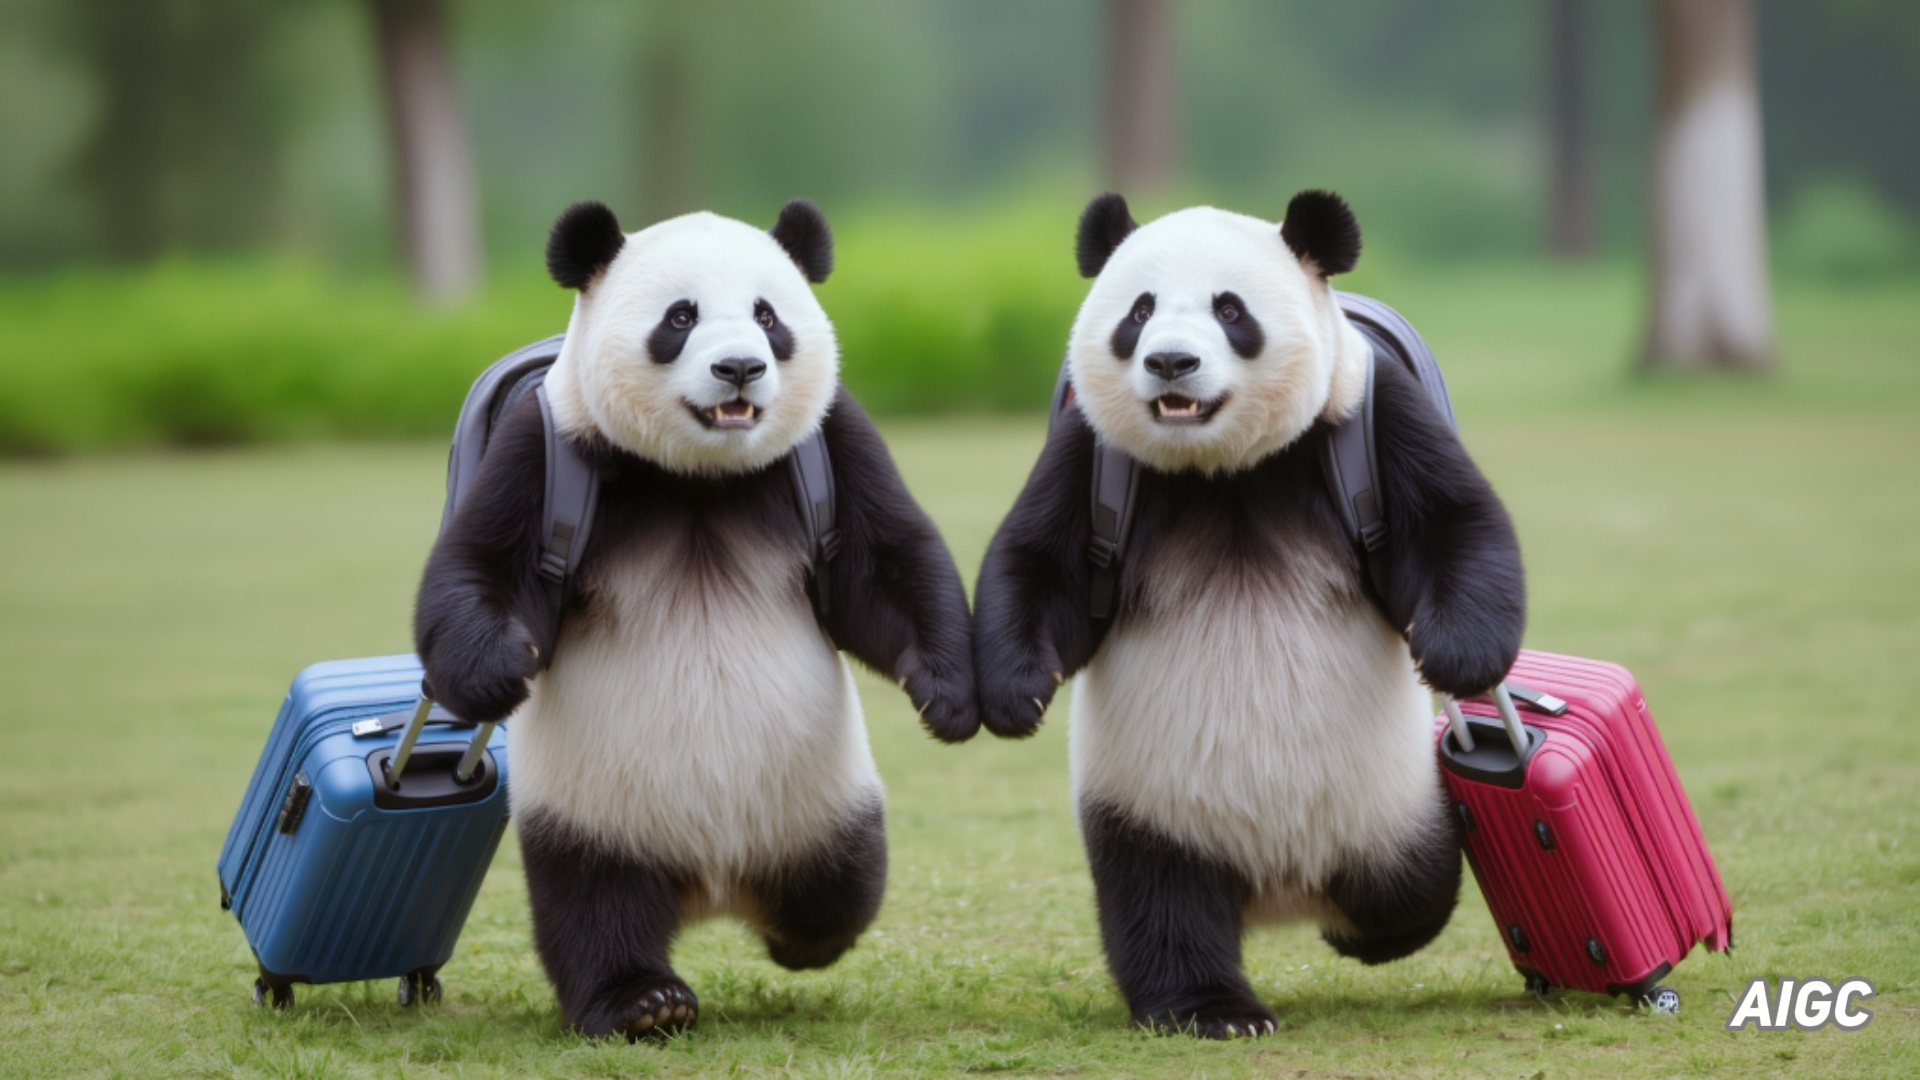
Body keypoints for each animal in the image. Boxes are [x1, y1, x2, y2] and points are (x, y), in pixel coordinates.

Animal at [415, 200, 978, 1040]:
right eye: (680, 318)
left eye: (769, 316)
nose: (740, 367)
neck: (699, 476)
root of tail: (712, 886)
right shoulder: (546, 447)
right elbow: (479, 565)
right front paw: (499, 672)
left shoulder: (831, 441)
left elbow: (884, 564)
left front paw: (948, 696)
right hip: (595, 809)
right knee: (591, 905)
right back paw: (644, 1002)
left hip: (820, 798)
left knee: (841, 883)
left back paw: (793, 940)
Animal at [972, 190, 1526, 1038]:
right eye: (1139, 312)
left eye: (1229, 310)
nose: (1170, 363)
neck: (1223, 470)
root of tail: (1279, 888)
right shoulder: (1090, 453)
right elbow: (1038, 562)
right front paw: (1014, 695)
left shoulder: (1366, 411)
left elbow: (1451, 522)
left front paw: (1459, 657)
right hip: (1149, 801)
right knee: (1160, 903)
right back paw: (1213, 1009)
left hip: (1388, 800)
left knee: (1406, 883)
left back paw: (1355, 933)